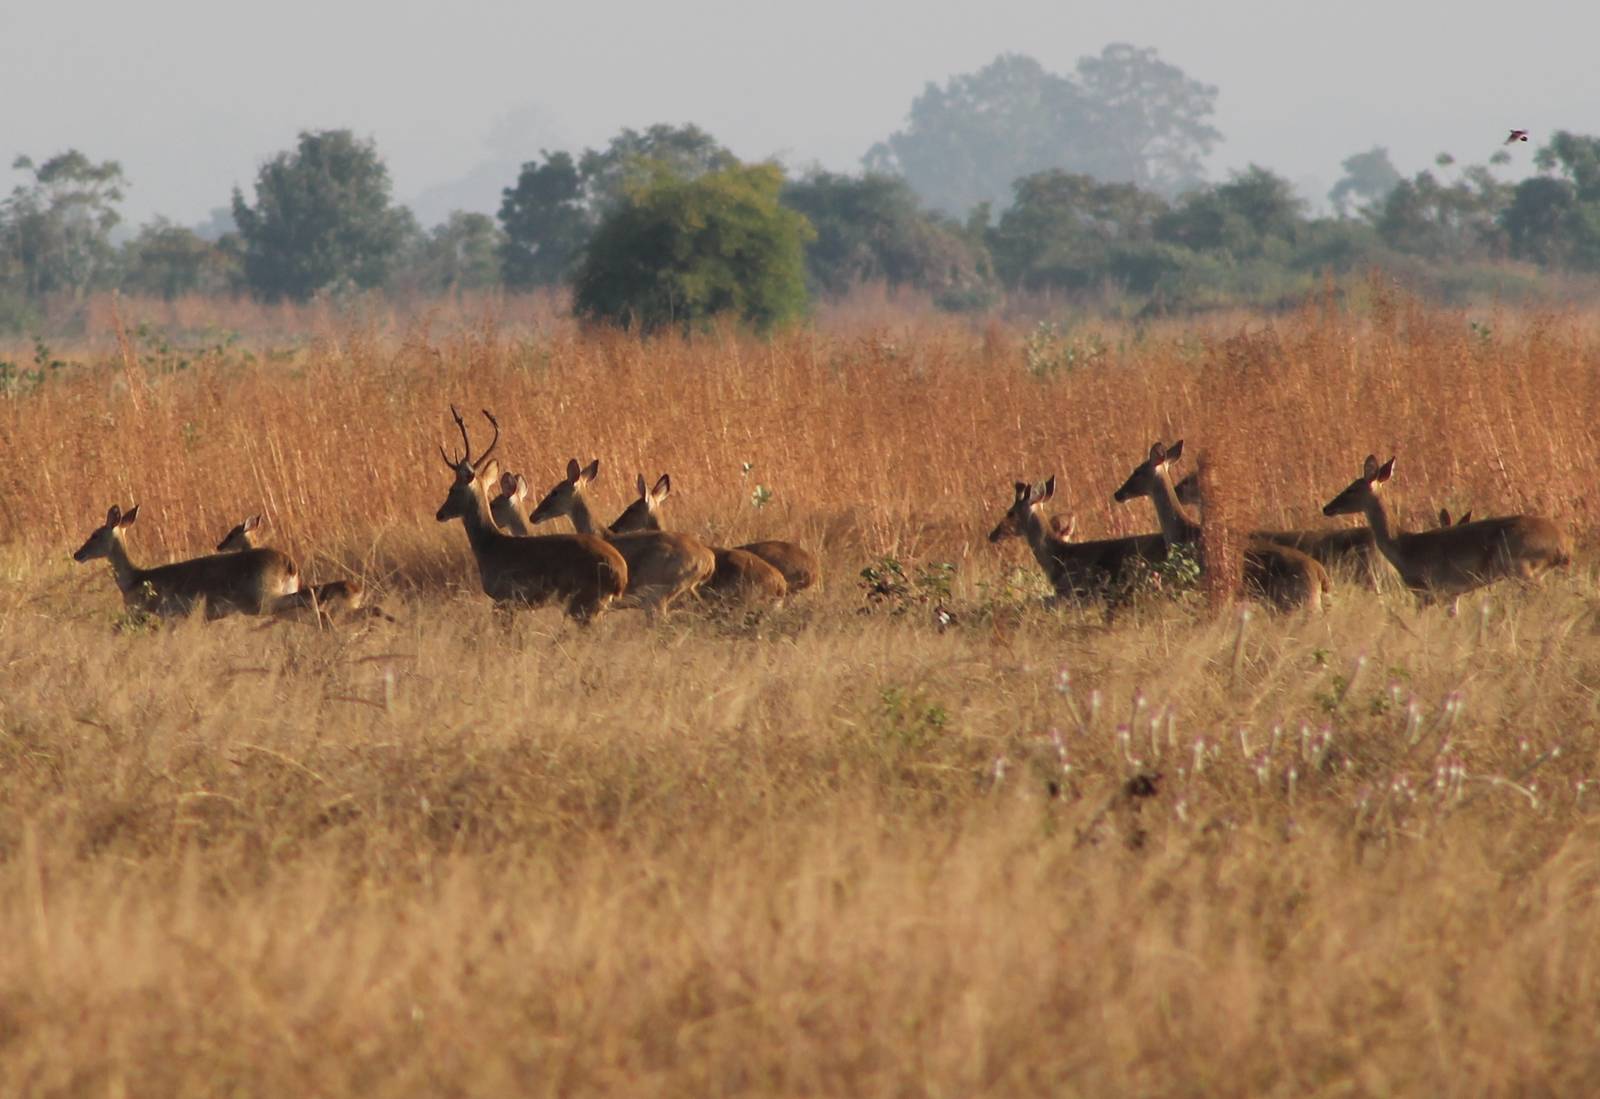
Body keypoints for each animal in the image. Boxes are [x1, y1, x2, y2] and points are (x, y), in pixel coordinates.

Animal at [434, 407, 628, 622]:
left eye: (452, 489)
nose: (440, 514)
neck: (490, 545)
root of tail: (620, 573)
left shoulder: (505, 599)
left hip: (584, 604)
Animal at [1322, 455, 1569, 605]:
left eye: (1352, 489)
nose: (1327, 508)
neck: (1403, 547)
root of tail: (1564, 546)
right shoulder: (1451, 595)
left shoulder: (1427, 591)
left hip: (1521, 567)